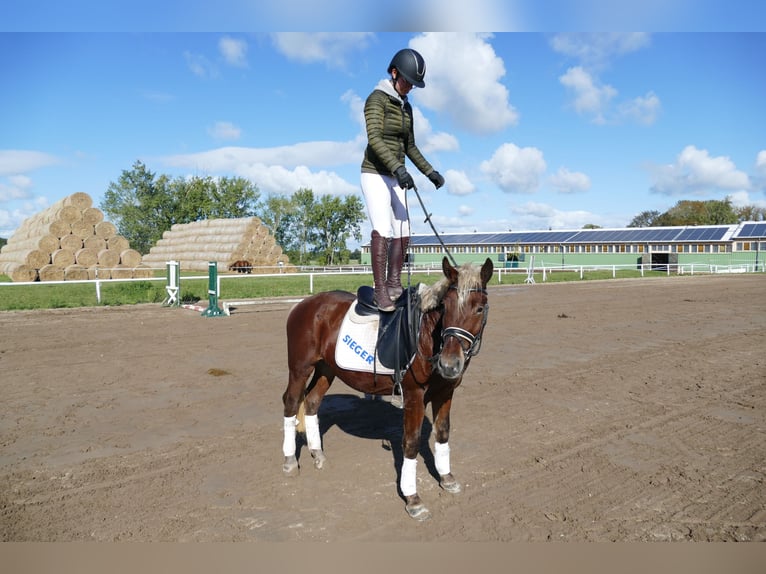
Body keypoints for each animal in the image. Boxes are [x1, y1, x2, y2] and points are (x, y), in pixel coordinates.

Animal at [280, 256, 492, 520]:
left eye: (479, 308)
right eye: (445, 307)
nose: (449, 364)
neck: (425, 335)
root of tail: (303, 305)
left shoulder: (446, 392)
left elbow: (442, 433)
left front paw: (447, 478)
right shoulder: (413, 395)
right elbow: (411, 443)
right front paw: (413, 499)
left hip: (327, 369)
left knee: (311, 402)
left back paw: (318, 454)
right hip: (300, 368)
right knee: (291, 403)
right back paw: (290, 460)